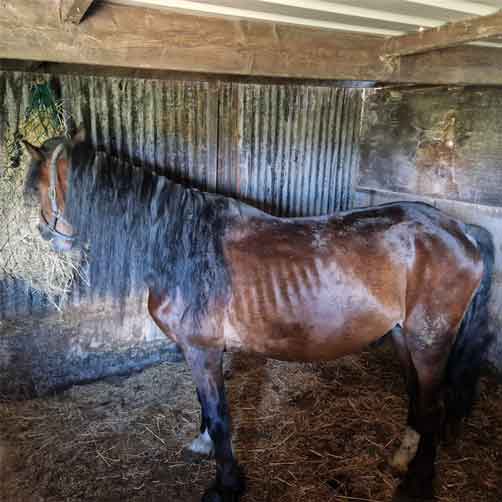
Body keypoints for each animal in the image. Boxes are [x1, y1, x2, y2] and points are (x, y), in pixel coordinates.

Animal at [23, 130, 494, 502]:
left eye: (37, 188)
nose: (46, 235)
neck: (185, 245)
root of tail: (462, 231)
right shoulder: (203, 350)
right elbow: (205, 406)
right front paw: (202, 445)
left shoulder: (202, 349)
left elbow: (219, 415)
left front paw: (226, 486)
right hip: (402, 336)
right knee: (419, 400)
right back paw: (402, 458)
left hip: (430, 339)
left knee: (435, 406)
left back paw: (418, 484)